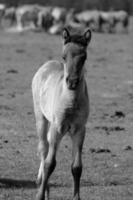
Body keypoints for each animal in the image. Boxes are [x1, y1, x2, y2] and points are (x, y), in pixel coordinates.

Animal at [32, 27, 91, 200]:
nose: (72, 82)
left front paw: (76, 197)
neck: (71, 102)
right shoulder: (57, 128)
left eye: (84, 57)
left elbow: (77, 167)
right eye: (64, 56)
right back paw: (43, 187)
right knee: (44, 149)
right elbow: (49, 164)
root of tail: (47, 64)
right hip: (41, 119)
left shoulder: (79, 130)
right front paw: (39, 195)